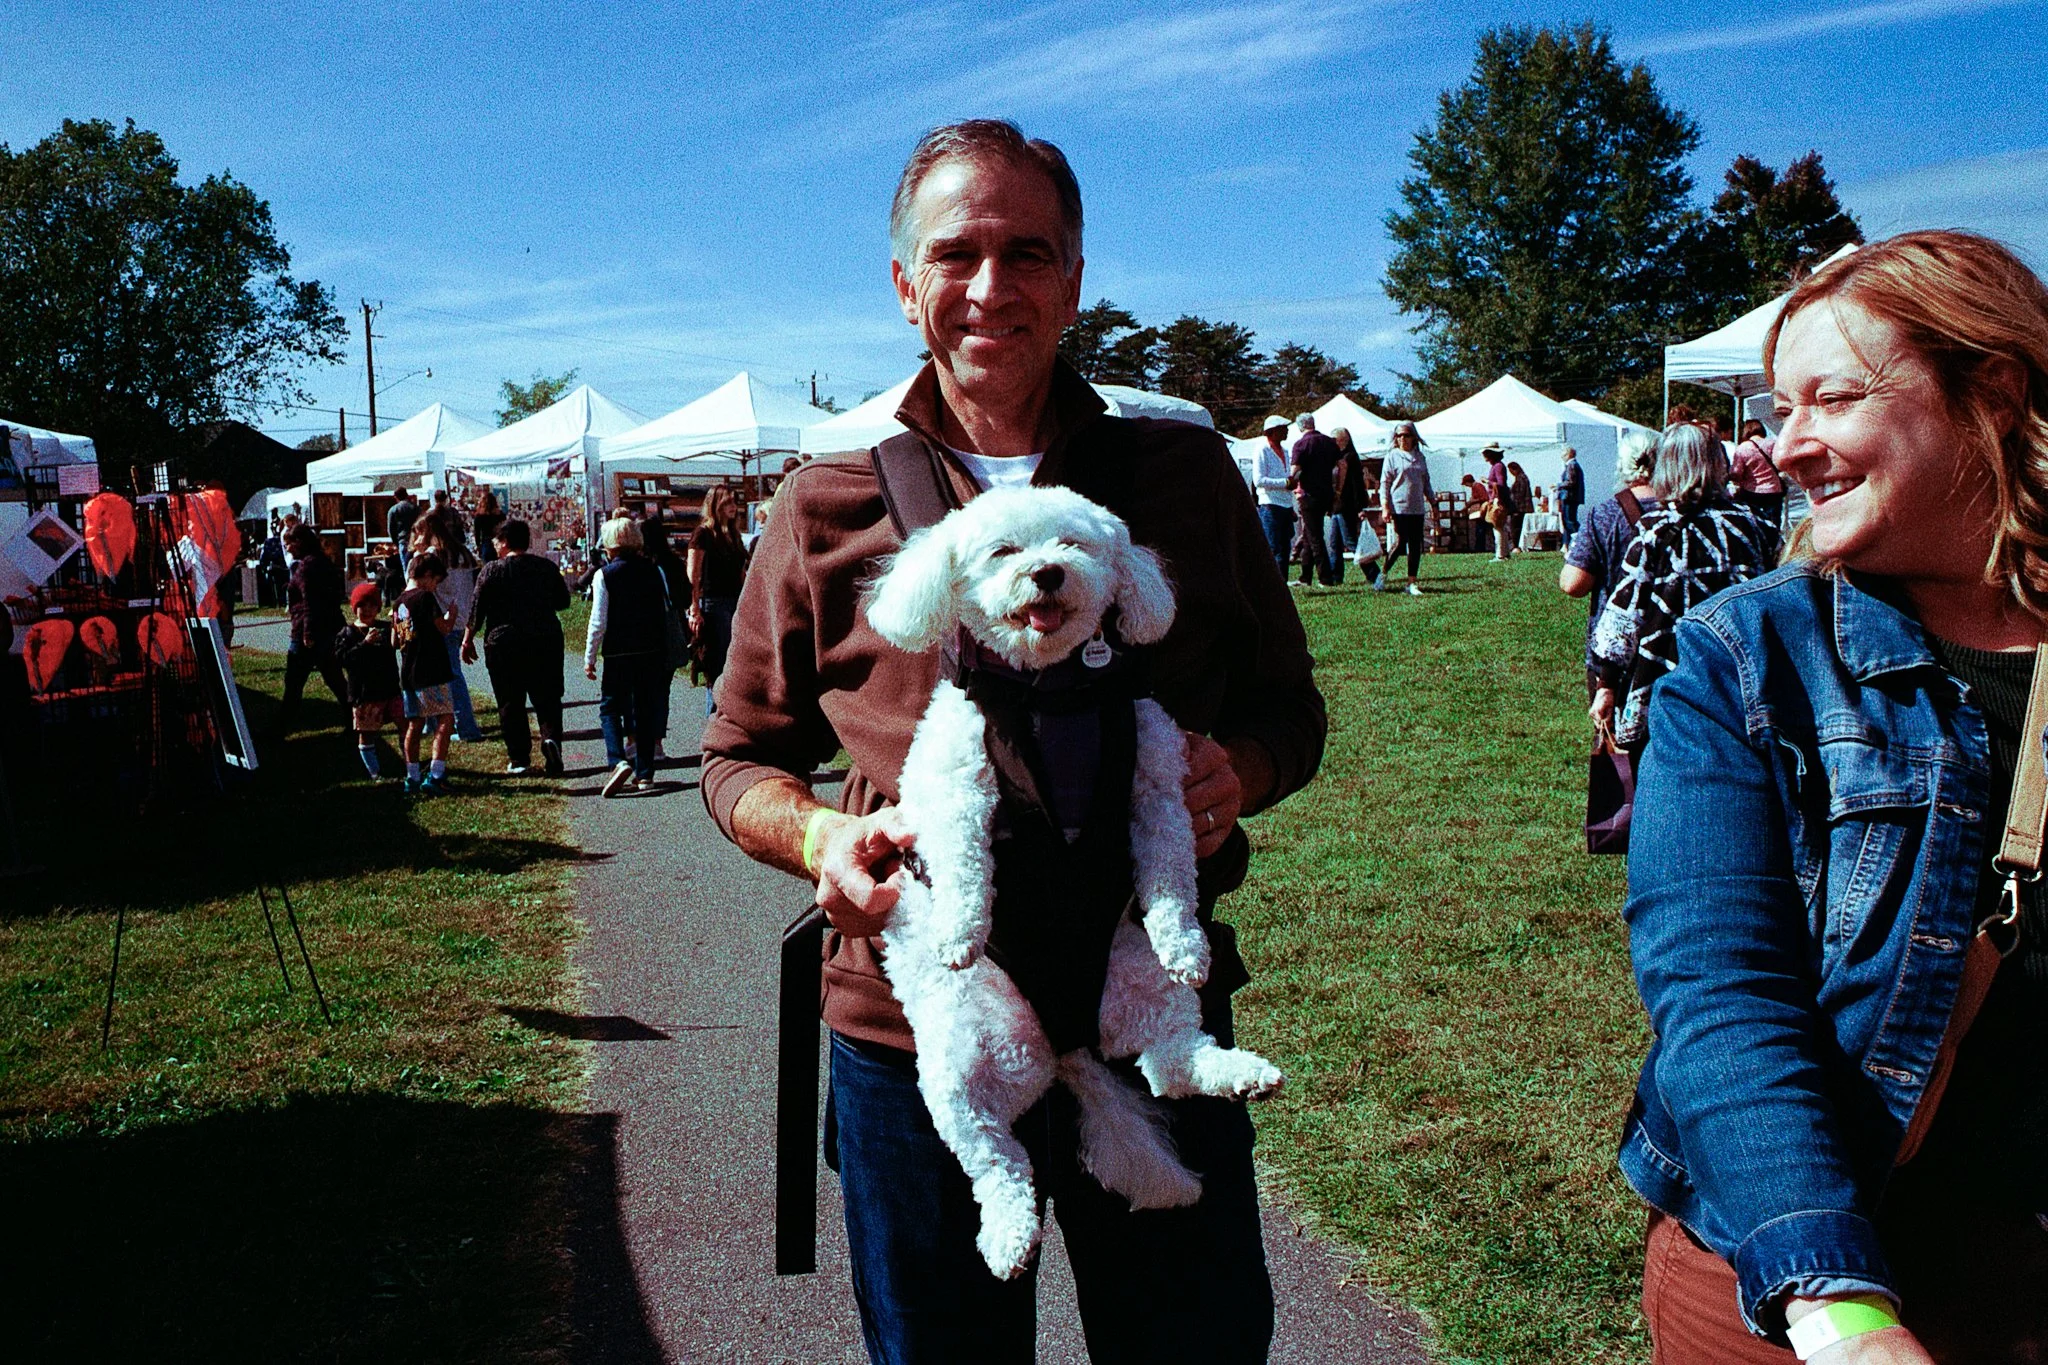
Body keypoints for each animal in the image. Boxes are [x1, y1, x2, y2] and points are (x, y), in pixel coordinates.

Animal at [863, 484, 1283, 1280]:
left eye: (1073, 544)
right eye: (1002, 551)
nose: (1048, 573)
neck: (1051, 695)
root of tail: (1063, 1049)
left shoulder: (1156, 787)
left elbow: (1171, 870)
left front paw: (1186, 942)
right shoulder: (956, 791)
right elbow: (963, 864)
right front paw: (960, 933)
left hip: (1139, 982)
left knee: (1170, 1064)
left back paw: (1239, 1071)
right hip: (954, 1077)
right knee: (999, 1161)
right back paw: (1007, 1235)